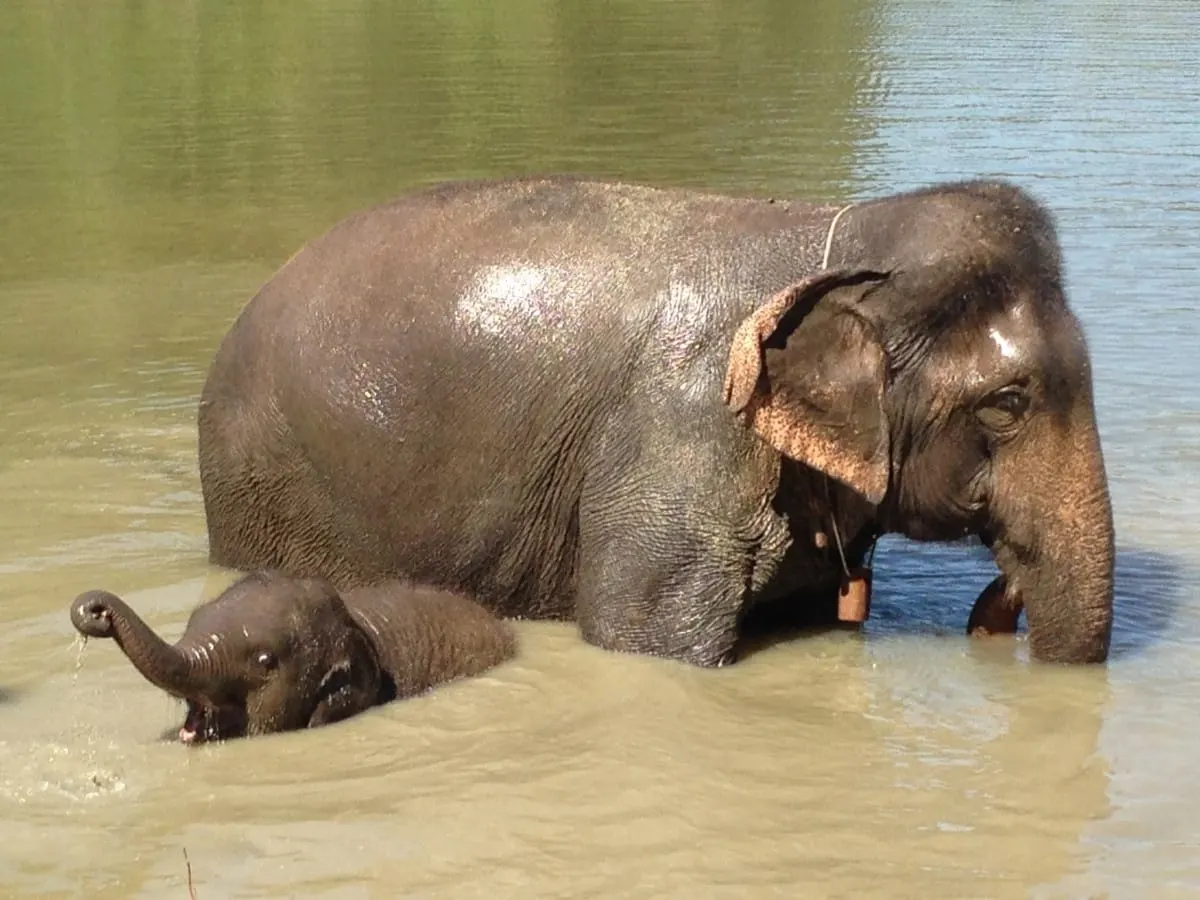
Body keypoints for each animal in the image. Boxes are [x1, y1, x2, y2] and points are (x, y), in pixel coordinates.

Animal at [197, 176, 1115, 667]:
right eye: (1008, 404)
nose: (1001, 592)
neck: (848, 237)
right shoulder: (680, 441)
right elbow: (645, 639)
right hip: (275, 491)